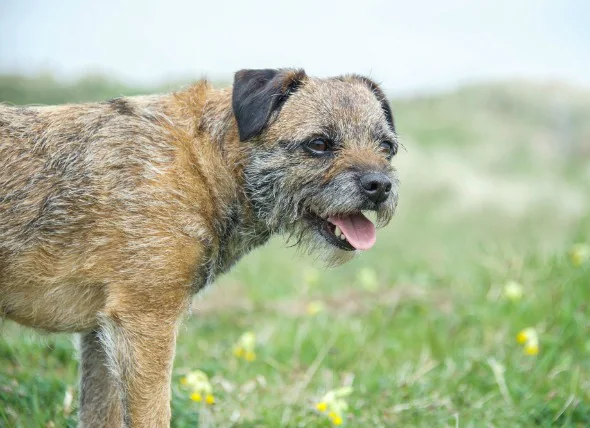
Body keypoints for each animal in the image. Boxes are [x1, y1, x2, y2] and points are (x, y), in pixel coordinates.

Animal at [0, 68, 400, 426]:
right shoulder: (145, 323)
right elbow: (152, 416)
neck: (207, 165)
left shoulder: (100, 333)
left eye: (387, 147)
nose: (380, 186)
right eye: (319, 144)